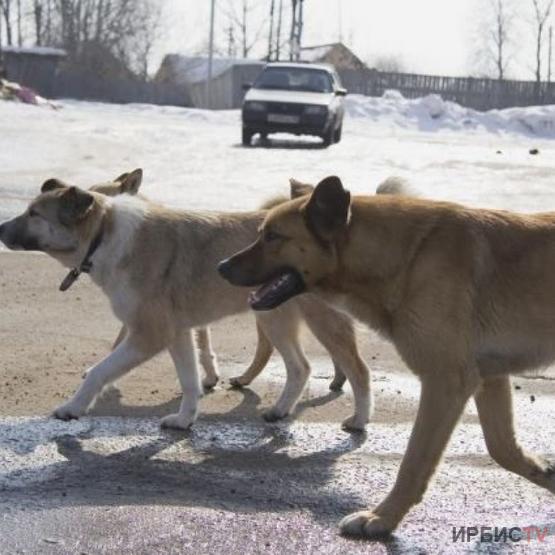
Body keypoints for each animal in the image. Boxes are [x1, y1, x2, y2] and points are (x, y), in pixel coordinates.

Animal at [0, 174, 374, 430]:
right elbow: (190, 381)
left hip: (321, 322)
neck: (103, 235)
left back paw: (359, 420)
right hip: (274, 319)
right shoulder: (179, 333)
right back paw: (280, 410)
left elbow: (99, 371)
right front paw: (184, 420)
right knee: (300, 368)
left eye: (34, 214)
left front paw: (73, 407)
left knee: (358, 370)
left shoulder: (149, 334)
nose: (1, 228)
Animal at [219, 177, 555, 540]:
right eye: (261, 233)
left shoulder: (445, 383)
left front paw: (381, 518)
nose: (220, 267)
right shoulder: (490, 378)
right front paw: (546, 474)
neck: (410, 255)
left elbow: (413, 463)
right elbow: (502, 449)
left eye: (273, 236)